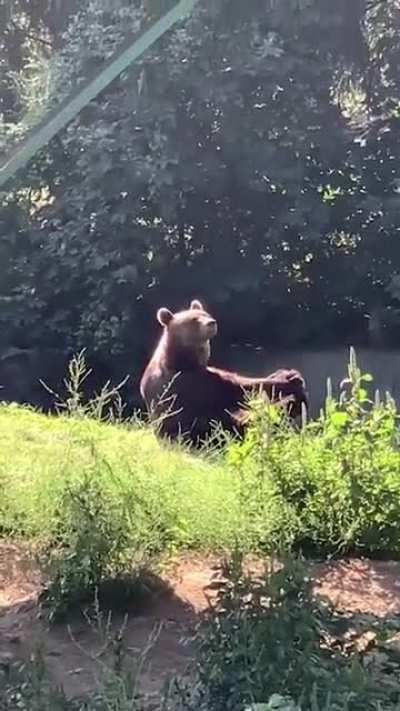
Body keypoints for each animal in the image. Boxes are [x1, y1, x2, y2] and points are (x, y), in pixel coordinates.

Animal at [139, 299, 308, 444]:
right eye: (194, 320)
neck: (182, 358)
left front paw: (284, 374)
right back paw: (291, 402)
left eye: (205, 314)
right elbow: (238, 388)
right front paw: (290, 379)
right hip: (195, 431)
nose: (211, 322)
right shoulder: (187, 383)